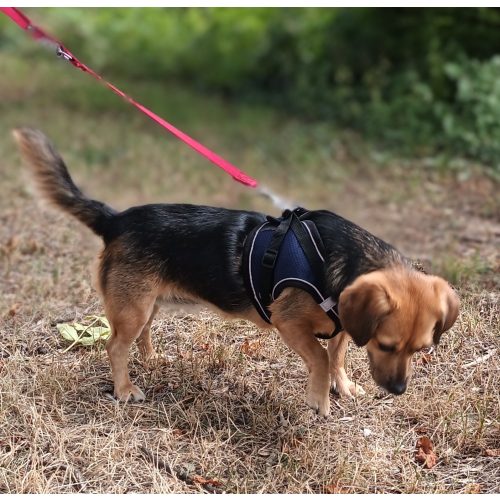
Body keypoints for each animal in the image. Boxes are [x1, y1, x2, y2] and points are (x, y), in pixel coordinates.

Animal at [13, 127, 458, 416]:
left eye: (421, 349)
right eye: (386, 345)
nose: (398, 391)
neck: (338, 260)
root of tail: (115, 219)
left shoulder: (344, 324)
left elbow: (337, 354)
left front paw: (342, 385)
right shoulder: (289, 322)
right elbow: (319, 356)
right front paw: (319, 400)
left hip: (146, 303)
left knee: (141, 336)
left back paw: (153, 360)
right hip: (133, 307)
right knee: (116, 346)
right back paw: (125, 390)